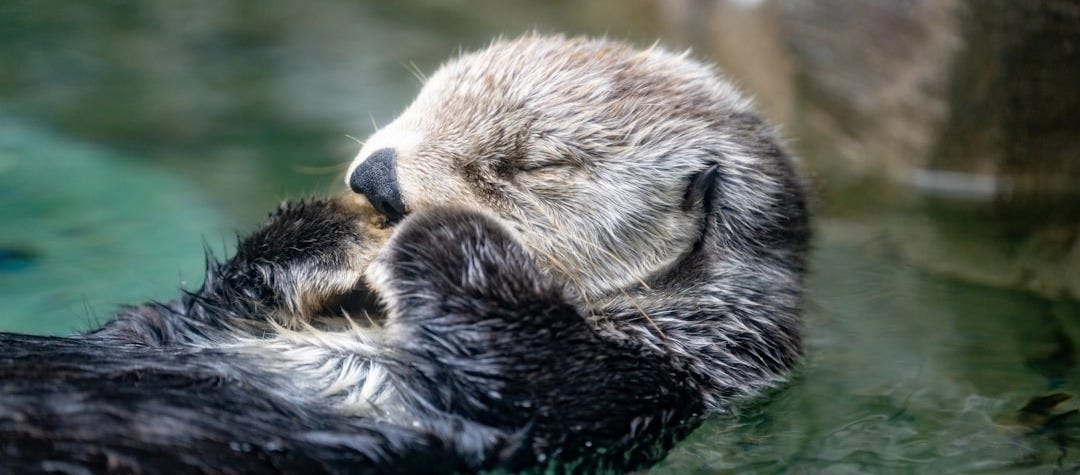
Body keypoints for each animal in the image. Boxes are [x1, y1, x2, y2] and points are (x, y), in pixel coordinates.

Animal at [0, 35, 809, 473]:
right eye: (424, 100)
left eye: (529, 166)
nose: (376, 180)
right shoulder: (201, 321)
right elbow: (208, 303)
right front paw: (333, 233)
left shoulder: (636, 390)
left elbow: (521, 363)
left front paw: (436, 235)